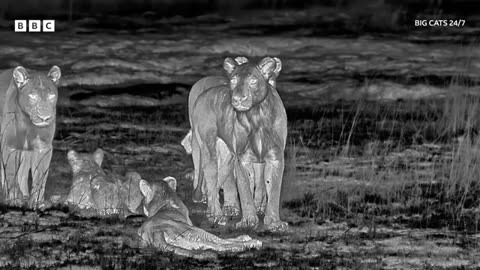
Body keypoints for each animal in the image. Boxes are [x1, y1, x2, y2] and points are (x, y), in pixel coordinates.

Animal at [0, 64, 62, 208]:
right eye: (32, 96)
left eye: (51, 95)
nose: (44, 117)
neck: (29, 124)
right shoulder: (10, 146)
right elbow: (11, 174)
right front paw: (14, 202)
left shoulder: (43, 148)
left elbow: (40, 177)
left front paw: (37, 203)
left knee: (22, 174)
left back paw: (25, 195)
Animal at [189, 56, 286, 232]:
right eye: (234, 80)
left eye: (253, 80)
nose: (238, 99)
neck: (257, 116)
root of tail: (203, 94)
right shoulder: (243, 158)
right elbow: (245, 187)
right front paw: (248, 220)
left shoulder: (275, 157)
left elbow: (273, 188)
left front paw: (274, 222)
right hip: (208, 149)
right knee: (211, 180)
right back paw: (217, 215)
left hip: (227, 157)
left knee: (218, 182)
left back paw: (213, 211)